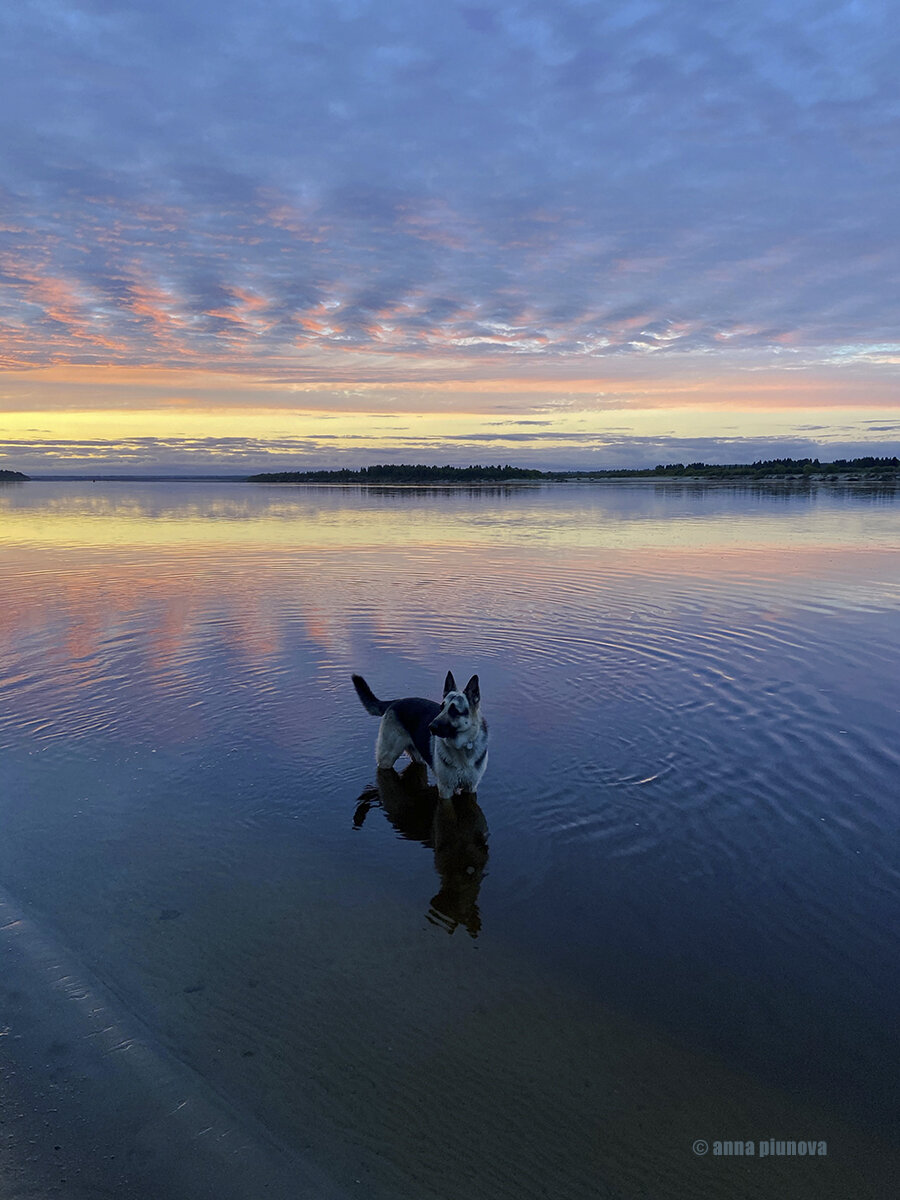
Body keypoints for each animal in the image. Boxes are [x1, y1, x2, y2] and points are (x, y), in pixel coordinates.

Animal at [355, 676, 494, 796]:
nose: (430, 727)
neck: (462, 746)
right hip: (387, 759)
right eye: (441, 707)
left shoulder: (471, 787)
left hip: (418, 758)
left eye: (454, 710)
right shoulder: (445, 789)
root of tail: (397, 701)